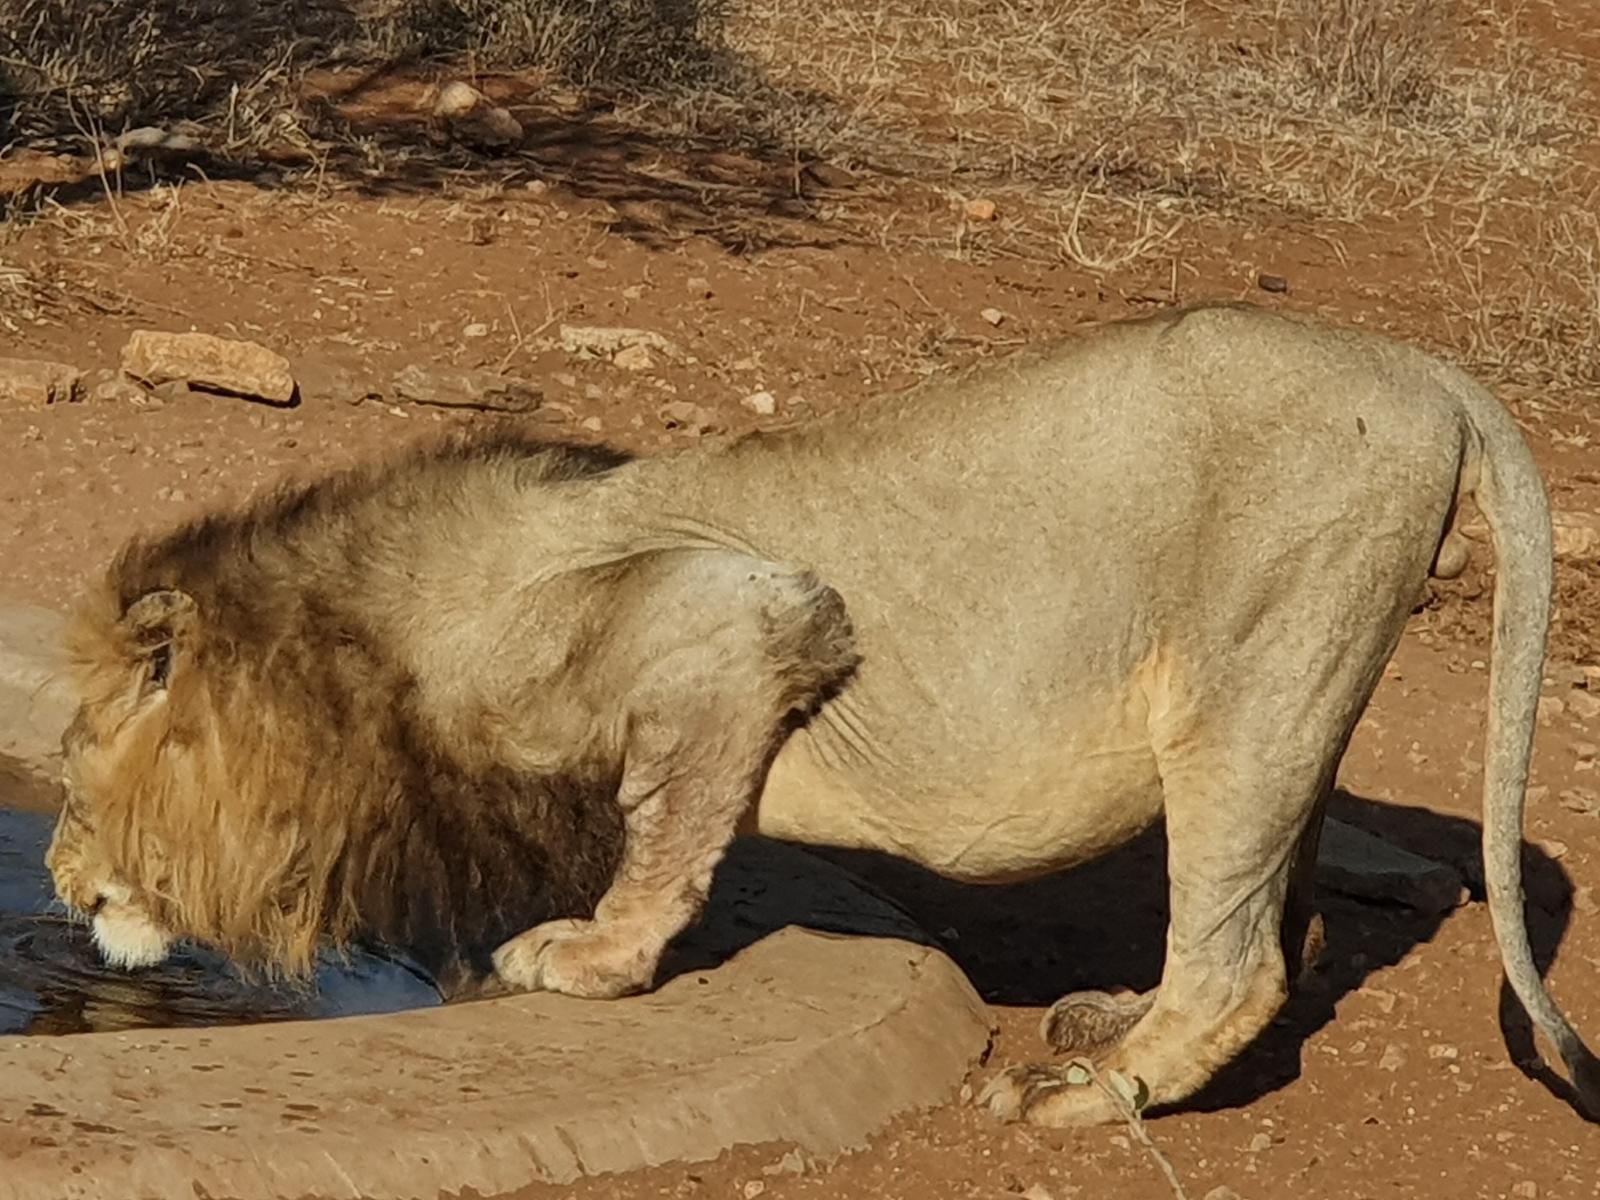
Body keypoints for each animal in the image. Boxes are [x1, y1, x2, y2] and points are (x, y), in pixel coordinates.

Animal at [43, 300, 1593, 1126]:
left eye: (67, 769)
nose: (52, 882)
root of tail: (1425, 368)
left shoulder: (745, 614)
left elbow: (666, 835)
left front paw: (583, 958)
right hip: (1296, 700)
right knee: (1283, 915)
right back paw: (1110, 1022)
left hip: (1246, 686)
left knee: (1241, 959)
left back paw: (1087, 1096)